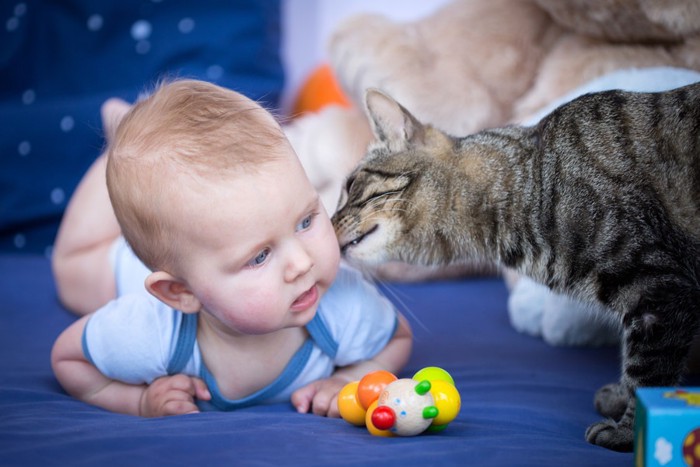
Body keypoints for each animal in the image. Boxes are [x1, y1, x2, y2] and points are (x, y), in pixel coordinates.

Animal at [332, 85, 700, 454]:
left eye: (350, 186)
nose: (329, 223)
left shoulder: (659, 291)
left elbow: (647, 373)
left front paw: (628, 432)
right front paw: (620, 399)